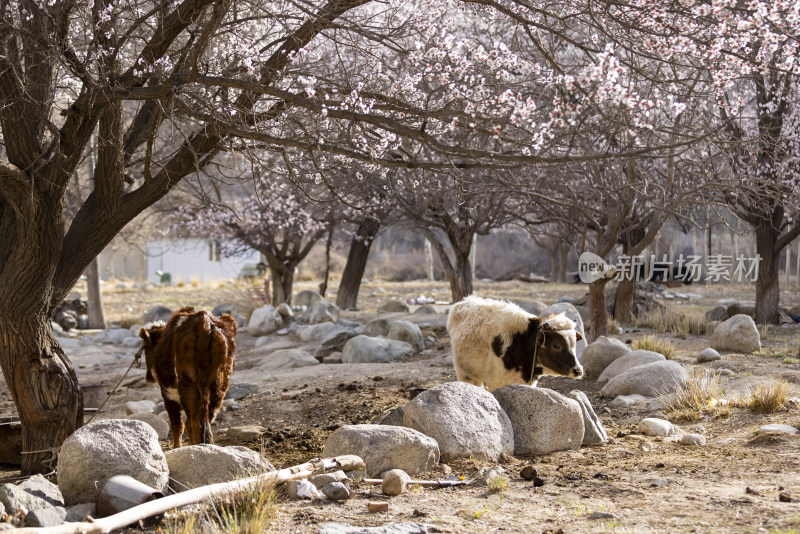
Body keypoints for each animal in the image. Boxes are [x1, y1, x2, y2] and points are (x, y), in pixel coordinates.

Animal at [138, 308, 236, 450]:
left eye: (146, 348)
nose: (148, 377)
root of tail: (205, 324)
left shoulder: (167, 392)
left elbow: (177, 424)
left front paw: (177, 447)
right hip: (219, 385)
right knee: (207, 418)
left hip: (188, 386)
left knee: (194, 422)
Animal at [446, 296, 584, 392]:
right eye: (556, 345)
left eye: (574, 344)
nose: (578, 370)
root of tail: (462, 303)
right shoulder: (497, 382)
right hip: (467, 375)